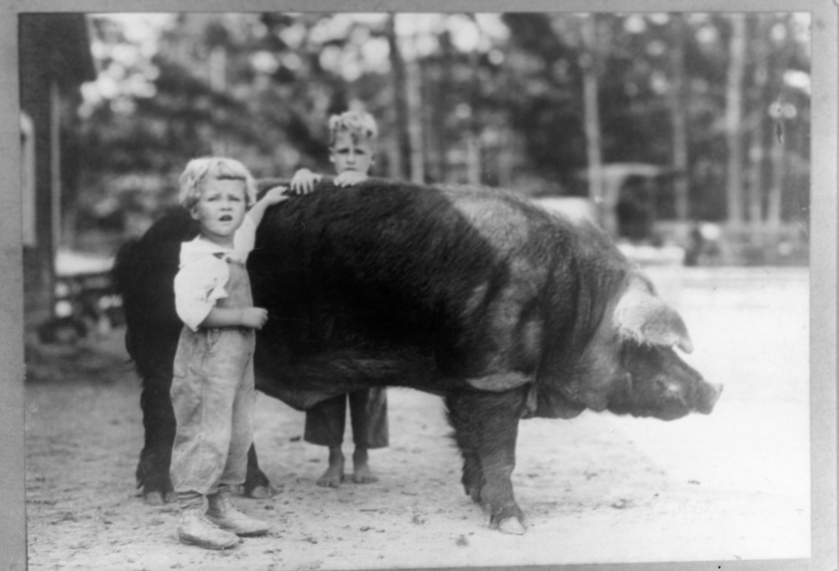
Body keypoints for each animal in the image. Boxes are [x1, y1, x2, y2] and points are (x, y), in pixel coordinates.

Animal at [115, 177, 720, 536]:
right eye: (649, 347)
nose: (715, 388)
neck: (573, 305)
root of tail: (137, 244)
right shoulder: (497, 375)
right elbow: (502, 452)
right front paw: (514, 524)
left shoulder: (471, 381)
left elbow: (473, 446)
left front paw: (474, 497)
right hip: (163, 351)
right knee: (161, 416)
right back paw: (158, 495)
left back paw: (259, 490)